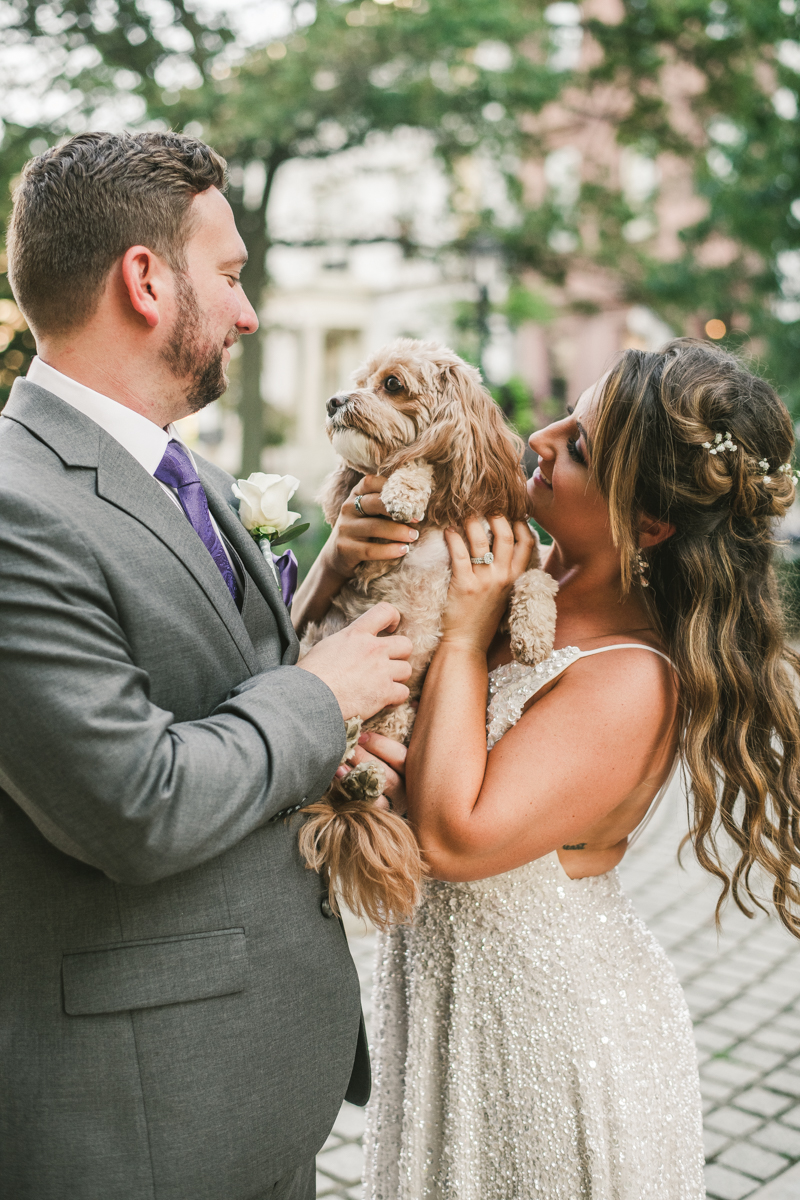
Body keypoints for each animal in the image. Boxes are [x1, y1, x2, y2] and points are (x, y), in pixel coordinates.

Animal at [298, 338, 556, 926]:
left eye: (392, 384)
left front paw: (534, 633)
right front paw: (407, 490)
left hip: (402, 716)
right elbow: (413, 461)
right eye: (360, 381)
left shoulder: (523, 552)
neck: (445, 517)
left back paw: (363, 776)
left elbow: (537, 580)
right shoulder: (368, 566)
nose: (333, 400)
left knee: (362, 763)